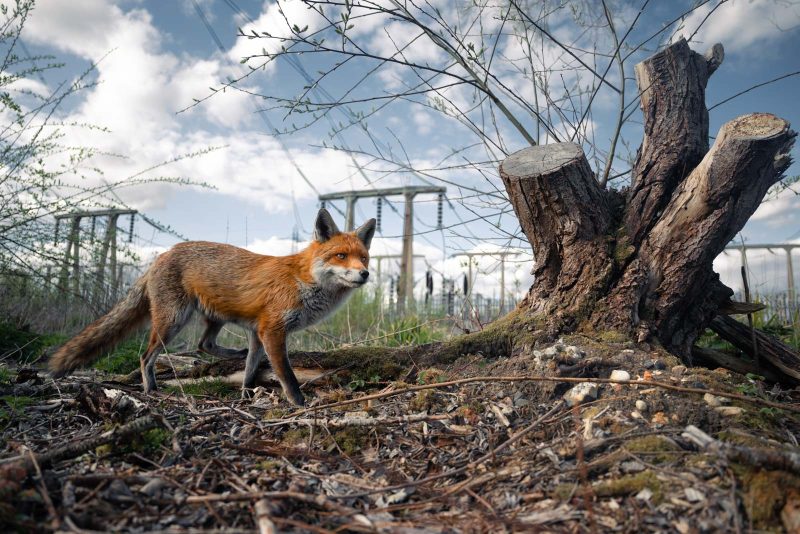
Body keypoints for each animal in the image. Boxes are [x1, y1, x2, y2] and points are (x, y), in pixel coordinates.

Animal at [48, 209, 376, 406]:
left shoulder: (257, 332)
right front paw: (299, 404)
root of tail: (163, 254)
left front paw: (246, 393)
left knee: (204, 344)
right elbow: (287, 376)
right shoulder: (272, 330)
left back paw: (232, 354)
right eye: (341, 256)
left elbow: (250, 368)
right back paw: (151, 388)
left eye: (364, 258)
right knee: (146, 356)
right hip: (173, 321)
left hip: (213, 318)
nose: (365, 274)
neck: (304, 280)